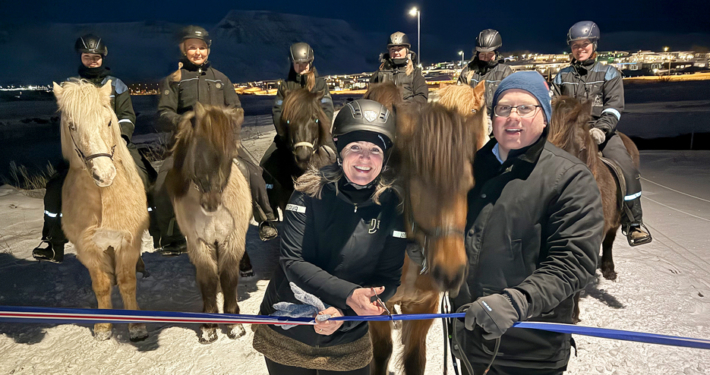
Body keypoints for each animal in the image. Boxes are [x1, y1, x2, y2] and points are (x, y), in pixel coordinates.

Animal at [52, 80, 149, 344]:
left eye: (107, 122)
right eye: (72, 126)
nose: (104, 174)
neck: (104, 199)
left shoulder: (127, 243)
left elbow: (127, 283)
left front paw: (137, 327)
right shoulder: (89, 249)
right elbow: (102, 285)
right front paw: (104, 327)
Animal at [165, 102, 254, 344]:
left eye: (230, 155)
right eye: (197, 150)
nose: (212, 203)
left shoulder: (232, 239)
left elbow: (228, 277)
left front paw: (235, 325)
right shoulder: (199, 243)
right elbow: (208, 279)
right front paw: (208, 328)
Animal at [368, 81, 490, 374]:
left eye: (468, 185)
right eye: (417, 182)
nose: (450, 272)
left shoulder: (425, 306)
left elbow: (415, 359)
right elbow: (382, 352)